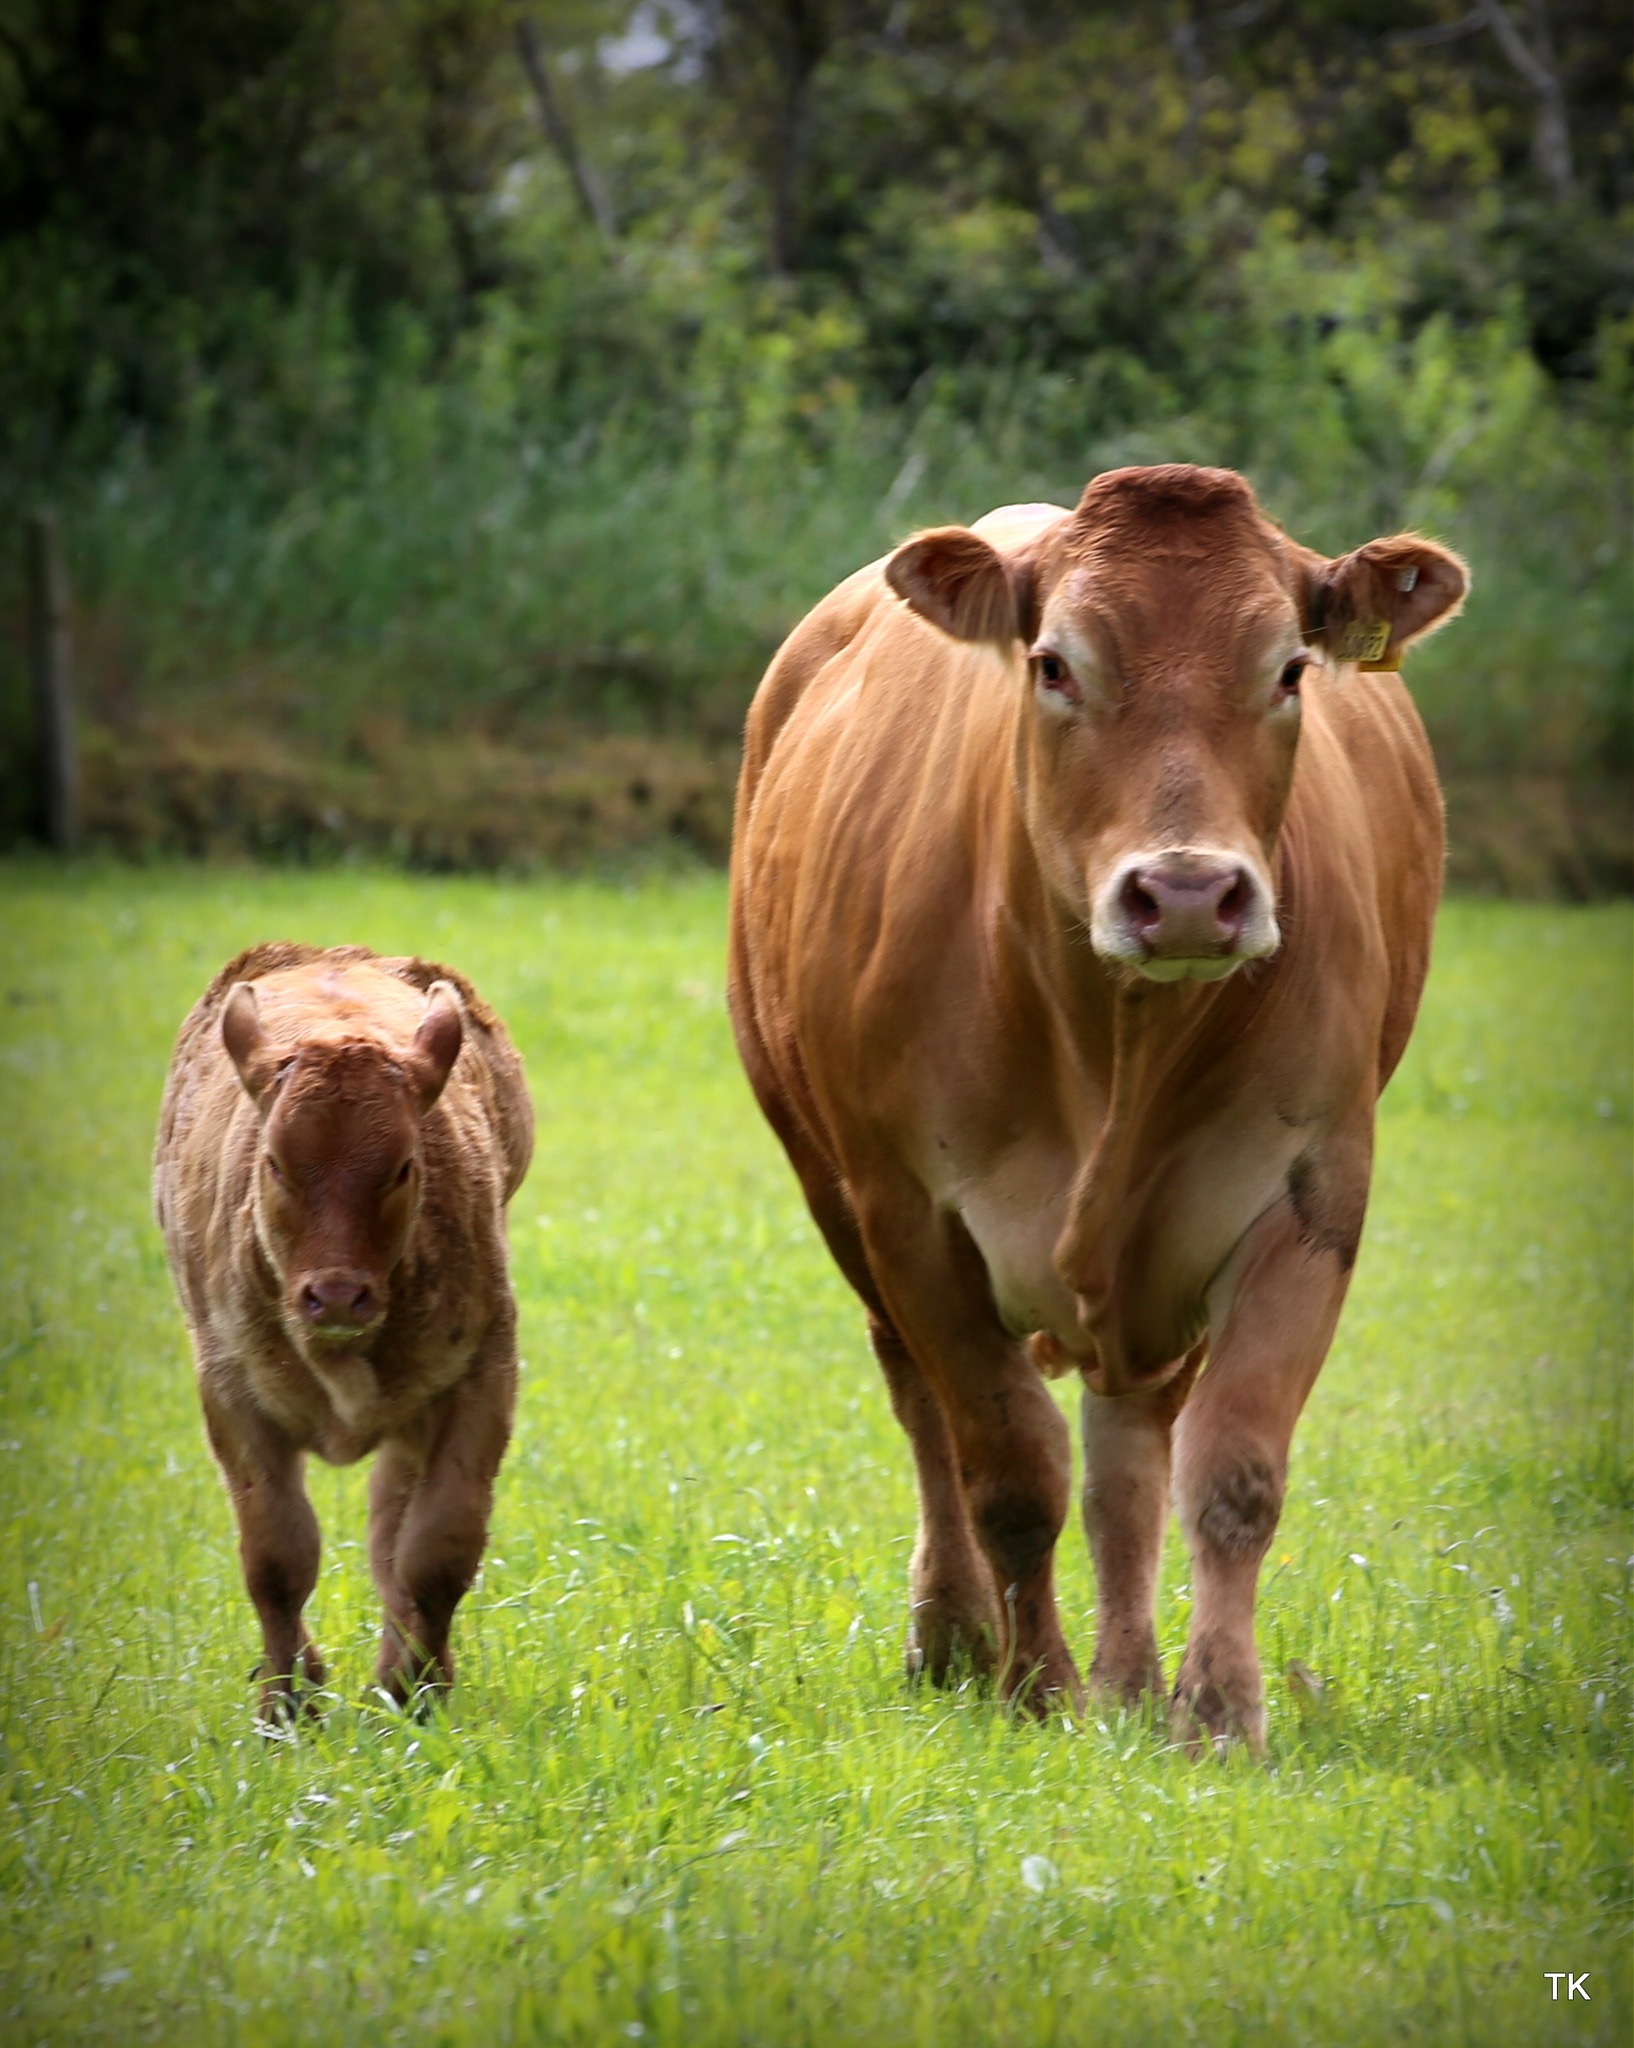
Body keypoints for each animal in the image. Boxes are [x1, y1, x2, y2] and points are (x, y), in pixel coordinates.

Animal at [154, 950, 532, 1720]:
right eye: (274, 1162)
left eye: (403, 1166)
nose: (335, 1294)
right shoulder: (231, 1395)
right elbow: (277, 1557)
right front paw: (286, 1705)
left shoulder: (482, 1378)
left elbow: (435, 1551)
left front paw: (414, 1694)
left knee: (393, 1530)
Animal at [733, 464, 1474, 1744]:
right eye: (1052, 663)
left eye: (1288, 668)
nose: (1183, 892)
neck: (1110, 1040)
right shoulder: (908, 1210)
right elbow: (1004, 1466)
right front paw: (1033, 1686)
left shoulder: (1308, 1192)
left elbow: (1228, 1468)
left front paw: (1215, 1707)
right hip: (829, 1183)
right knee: (923, 1407)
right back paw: (955, 1637)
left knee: (1129, 1448)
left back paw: (1127, 1674)